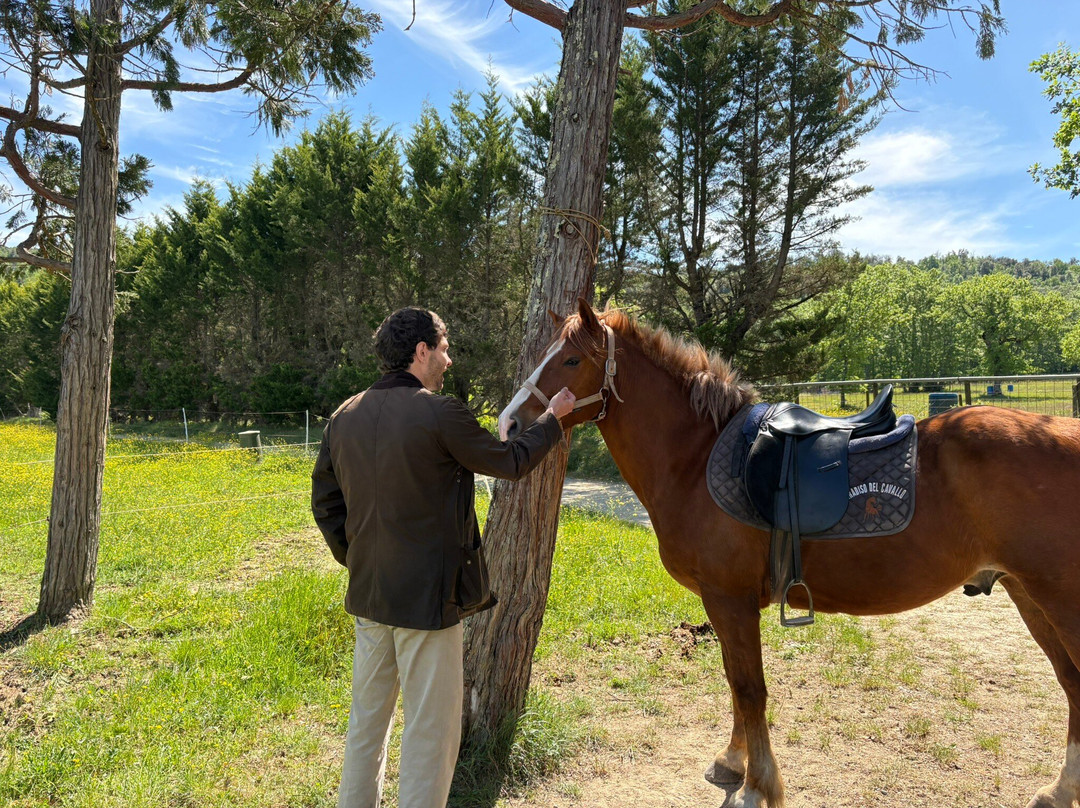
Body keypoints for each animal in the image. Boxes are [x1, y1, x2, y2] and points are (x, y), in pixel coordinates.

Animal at [498, 299, 1080, 808]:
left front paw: (757, 786)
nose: (508, 424)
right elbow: (735, 682)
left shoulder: (729, 599)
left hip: (1057, 600)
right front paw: (734, 762)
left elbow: (749, 687)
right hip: (1029, 596)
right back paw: (1059, 790)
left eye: (572, 360)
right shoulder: (723, 603)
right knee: (1072, 683)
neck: (696, 457)